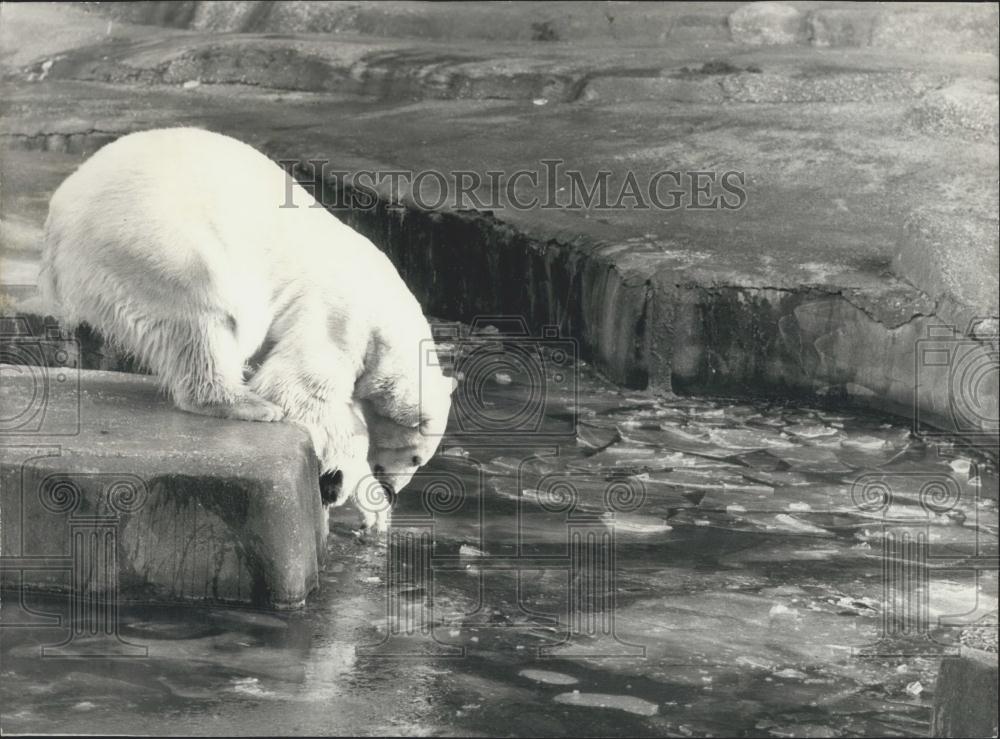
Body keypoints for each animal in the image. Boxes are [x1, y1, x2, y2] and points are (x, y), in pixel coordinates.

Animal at [41, 125, 456, 532]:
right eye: (416, 457)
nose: (393, 489)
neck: (389, 318)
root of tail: (57, 223)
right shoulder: (338, 318)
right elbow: (300, 390)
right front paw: (354, 489)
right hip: (157, 239)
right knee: (205, 311)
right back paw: (246, 403)